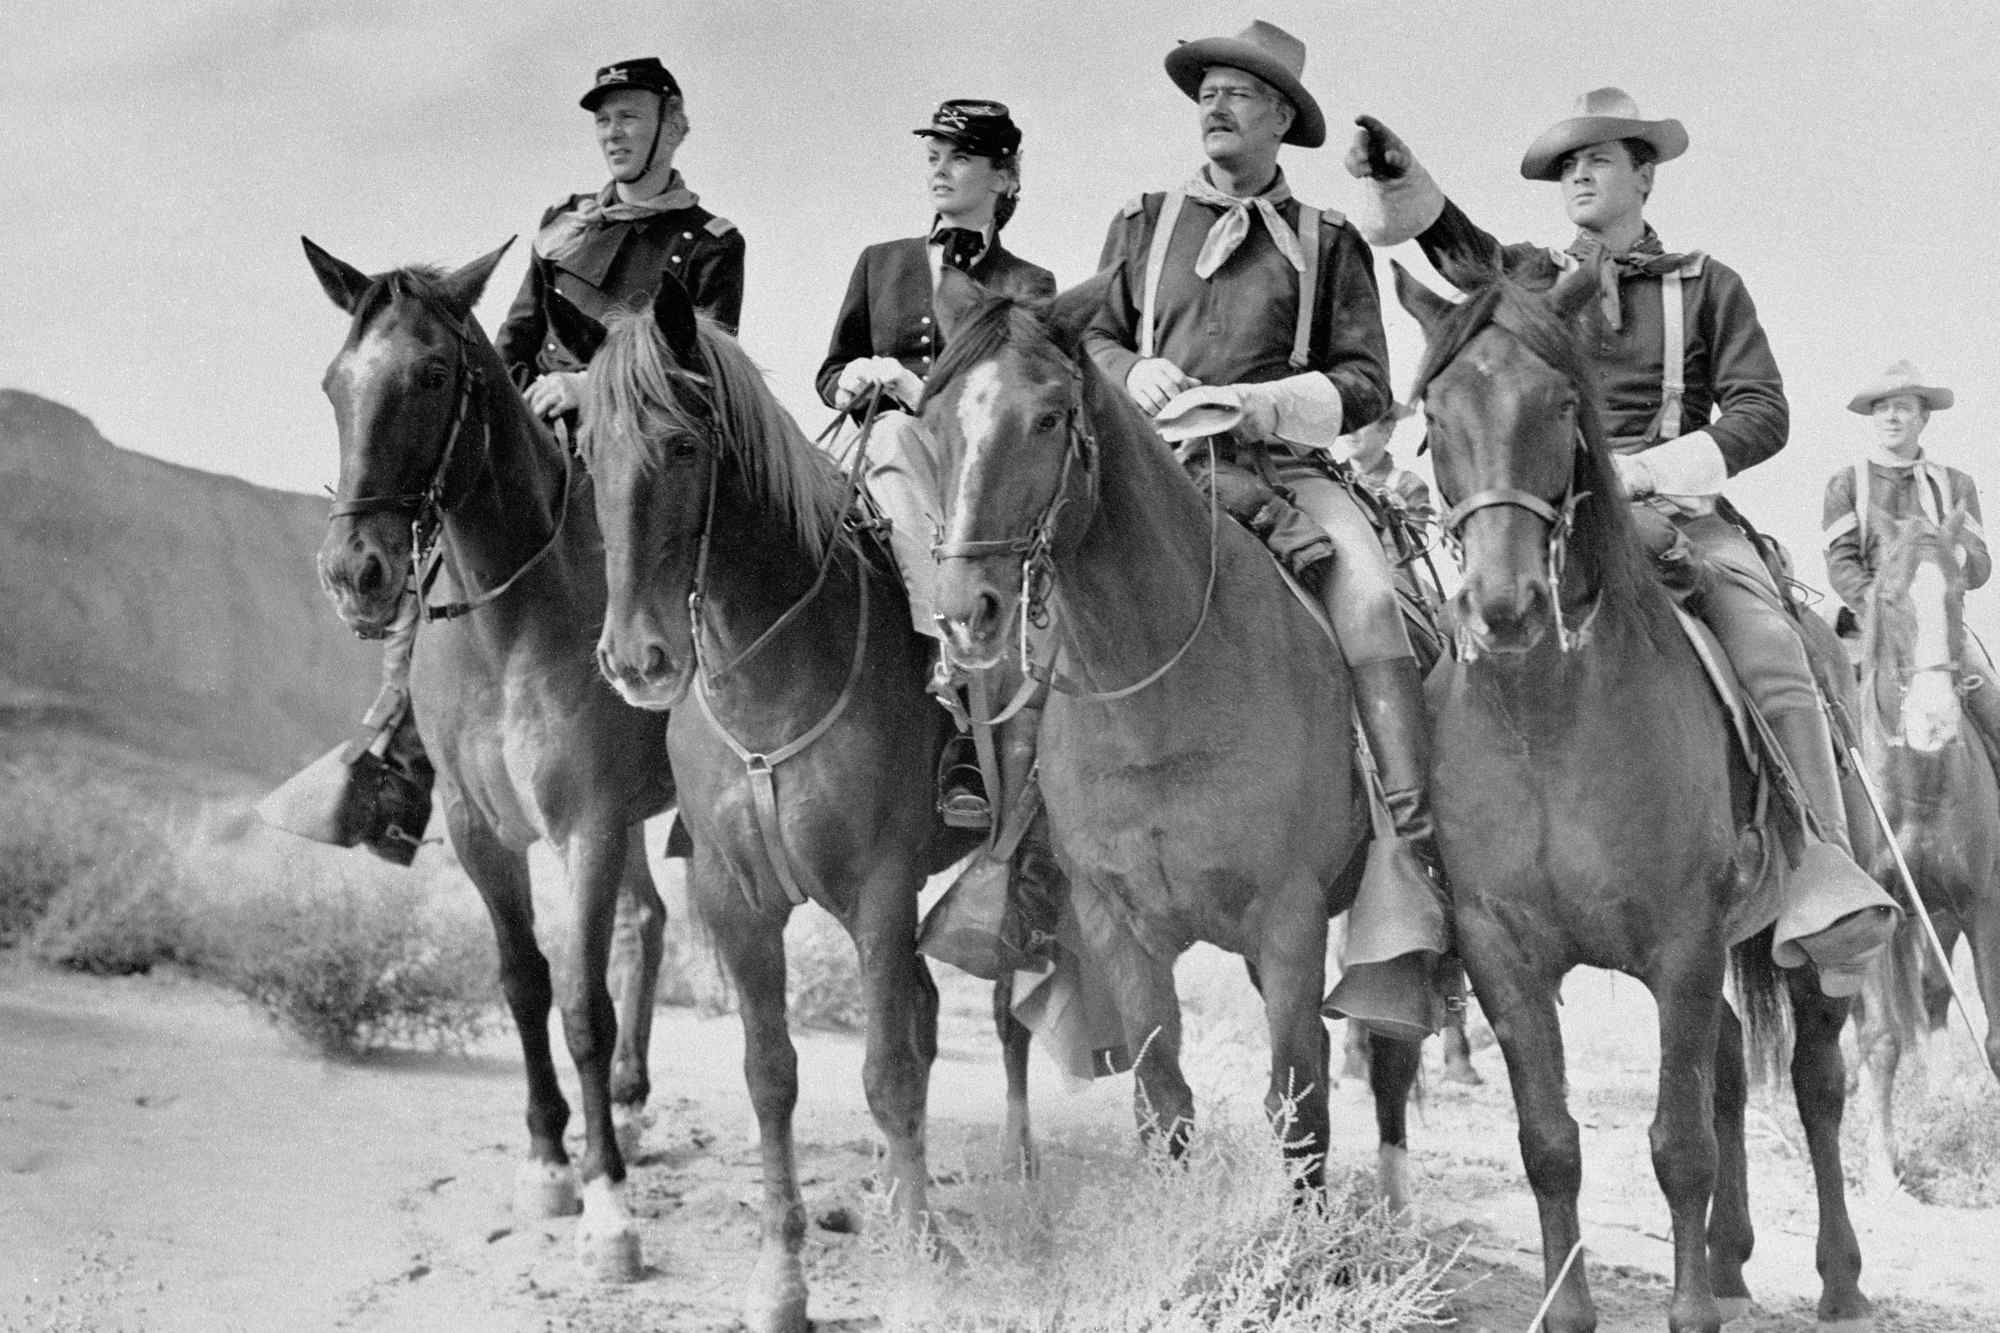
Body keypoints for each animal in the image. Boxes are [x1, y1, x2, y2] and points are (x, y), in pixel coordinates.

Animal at [576, 274, 988, 1320]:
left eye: (683, 446)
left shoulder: (879, 890)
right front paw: (780, 1278)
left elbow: (887, 1069)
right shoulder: (735, 899)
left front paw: (925, 1259)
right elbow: (772, 1075)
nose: (637, 659)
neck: (772, 666)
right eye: (588, 450)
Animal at [920, 270, 1424, 1200]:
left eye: (1049, 417)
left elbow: (1299, 1105)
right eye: (935, 421)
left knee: (1392, 1054)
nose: (966, 611)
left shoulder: (1291, 916)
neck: (1160, 705)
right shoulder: (1117, 920)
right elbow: (1163, 1100)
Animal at [1392, 262, 1872, 1328]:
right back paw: (1731, 1258)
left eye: (1561, 404)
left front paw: (1689, 1310)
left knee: (1815, 1082)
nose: (1505, 607)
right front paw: (1569, 1307)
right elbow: (1551, 1143)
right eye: (1434, 413)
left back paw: (1840, 1278)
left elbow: (1678, 1141)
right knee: (1730, 1068)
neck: (1548, 720)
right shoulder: (1502, 952)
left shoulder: (1681, 941)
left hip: (1800, 949)